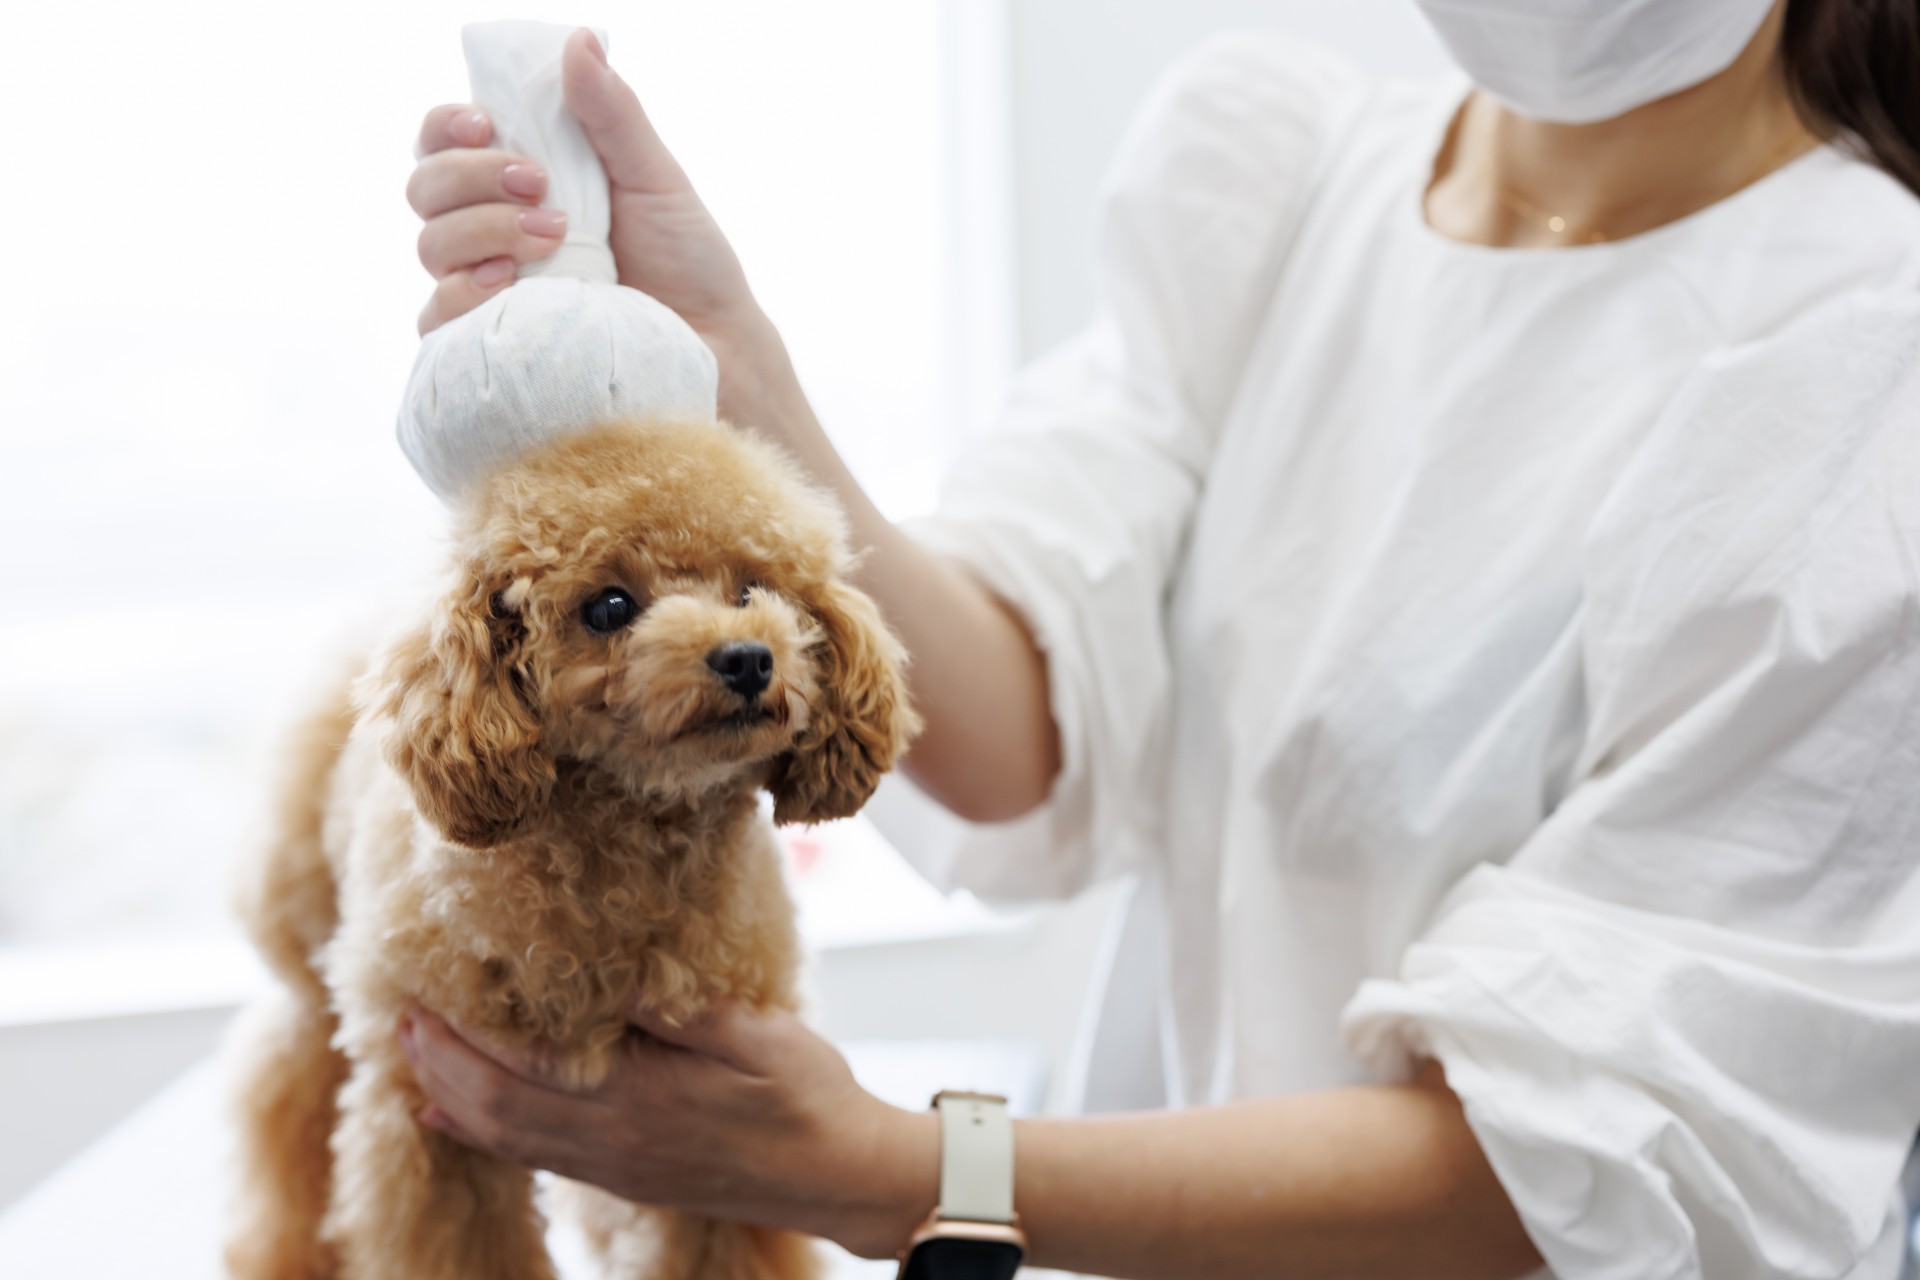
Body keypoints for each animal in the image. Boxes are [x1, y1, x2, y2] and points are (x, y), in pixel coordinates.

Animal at [220, 422, 925, 1280]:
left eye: (755, 589)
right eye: (609, 607)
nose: (748, 658)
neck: (621, 856)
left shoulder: (720, 1158)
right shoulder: (434, 1117)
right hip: (314, 962)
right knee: (286, 1089)